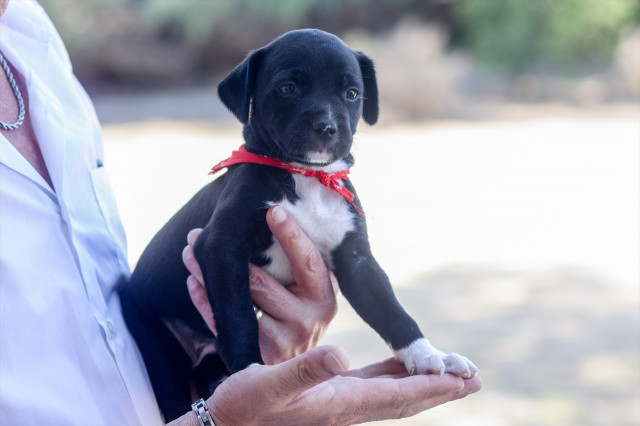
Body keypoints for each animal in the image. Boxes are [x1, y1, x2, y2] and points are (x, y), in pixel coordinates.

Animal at [120, 30, 476, 422]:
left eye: (352, 93)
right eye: (287, 88)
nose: (326, 127)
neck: (306, 177)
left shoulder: (356, 259)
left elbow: (391, 309)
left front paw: (428, 355)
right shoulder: (221, 246)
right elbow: (238, 315)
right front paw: (250, 373)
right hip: (154, 343)